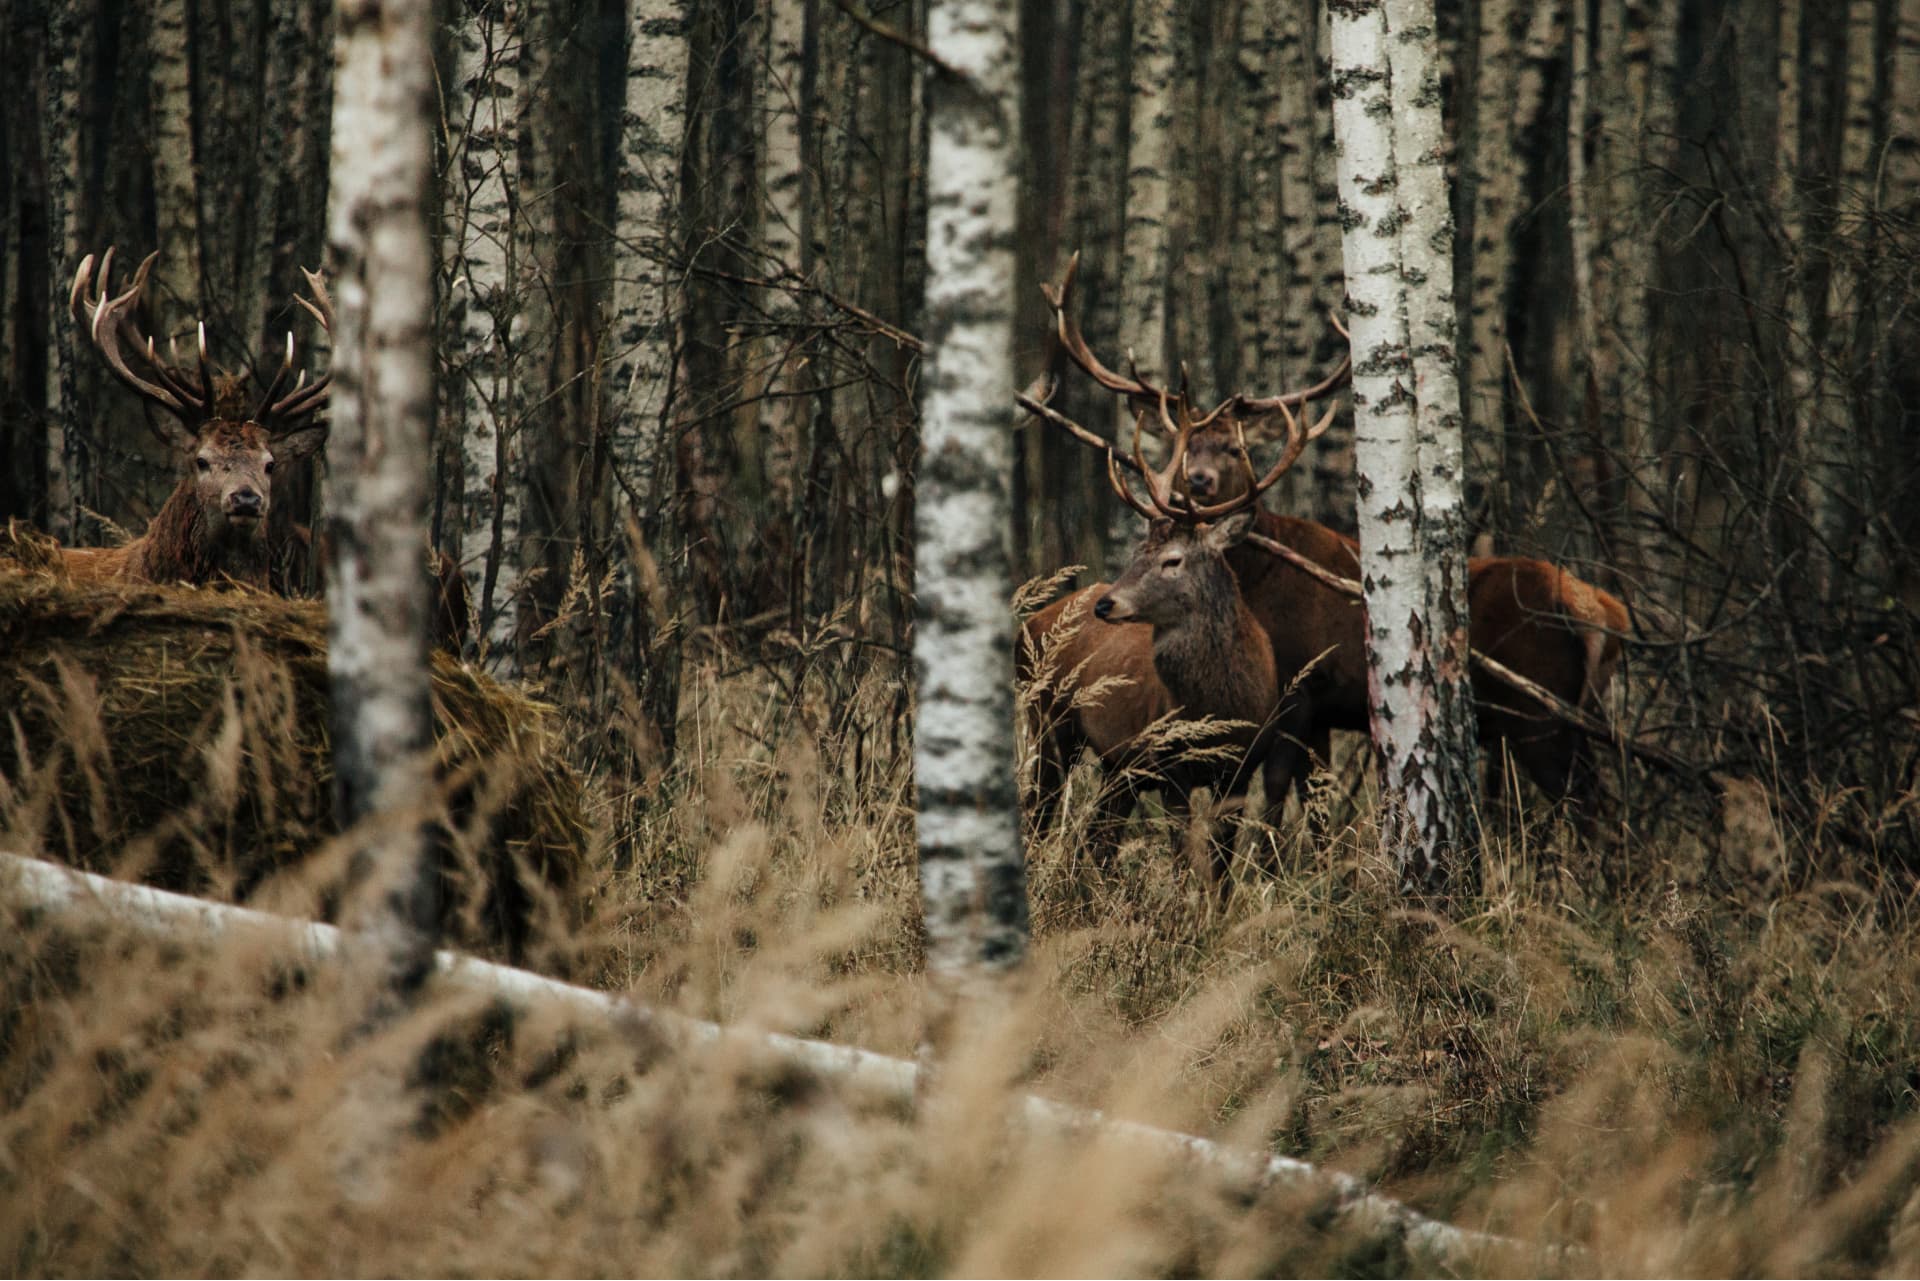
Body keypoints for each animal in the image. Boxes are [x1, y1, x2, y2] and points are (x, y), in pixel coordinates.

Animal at [1013, 253, 1628, 852]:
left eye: (1235, 447)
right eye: (1182, 447)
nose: (1197, 482)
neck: (1260, 577)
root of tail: (1607, 613)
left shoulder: (1299, 695)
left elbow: (1279, 800)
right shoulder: (1311, 713)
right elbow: (1309, 807)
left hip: (1539, 716)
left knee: (1593, 808)